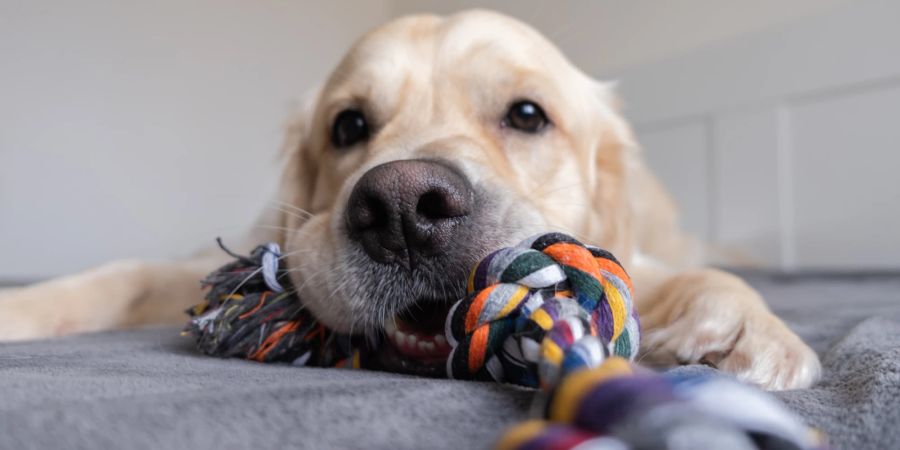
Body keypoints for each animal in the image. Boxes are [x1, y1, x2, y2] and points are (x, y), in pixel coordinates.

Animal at [0, 10, 820, 390]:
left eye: (528, 115)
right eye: (347, 126)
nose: (400, 211)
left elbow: (679, 277)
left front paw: (746, 329)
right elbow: (124, 272)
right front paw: (20, 308)